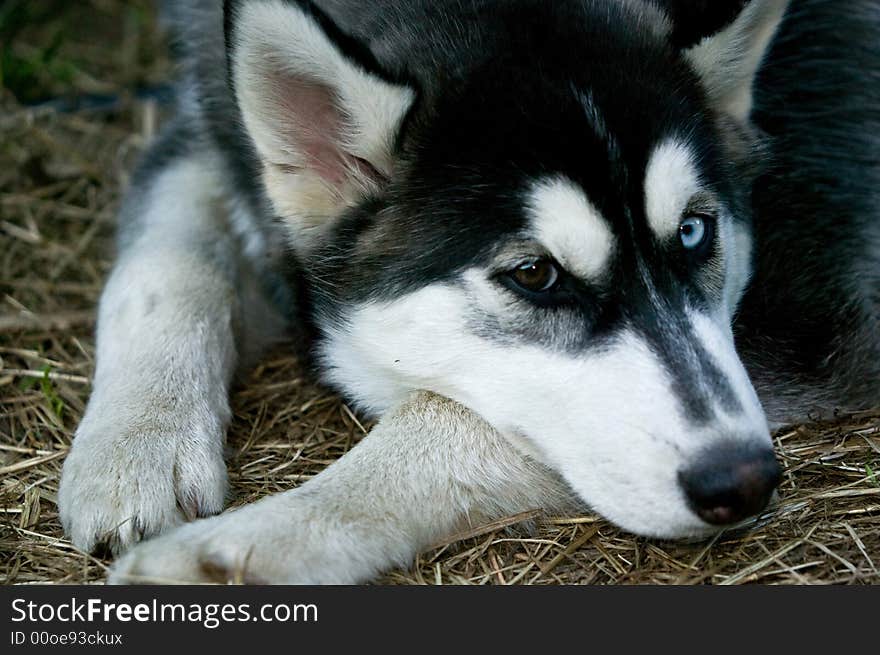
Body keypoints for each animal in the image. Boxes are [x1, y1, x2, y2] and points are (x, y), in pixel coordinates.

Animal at [56, 0, 880, 584]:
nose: (744, 479)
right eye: (535, 275)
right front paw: (135, 445)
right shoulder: (201, 129)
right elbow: (157, 266)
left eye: (693, 232)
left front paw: (233, 551)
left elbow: (444, 415)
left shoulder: (819, 319)